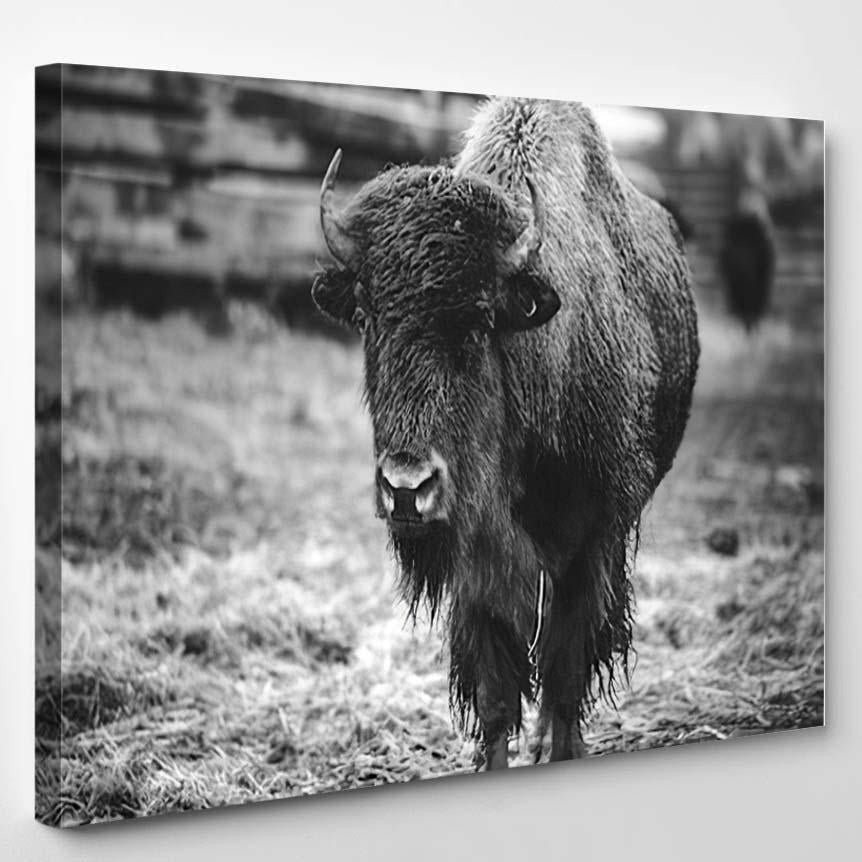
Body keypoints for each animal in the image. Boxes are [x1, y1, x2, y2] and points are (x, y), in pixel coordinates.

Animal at [312, 98, 699, 769]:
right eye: (365, 315)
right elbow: (495, 693)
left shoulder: (594, 540)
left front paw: (562, 747)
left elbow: (567, 668)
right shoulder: (477, 565)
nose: (406, 488)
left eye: (479, 320)